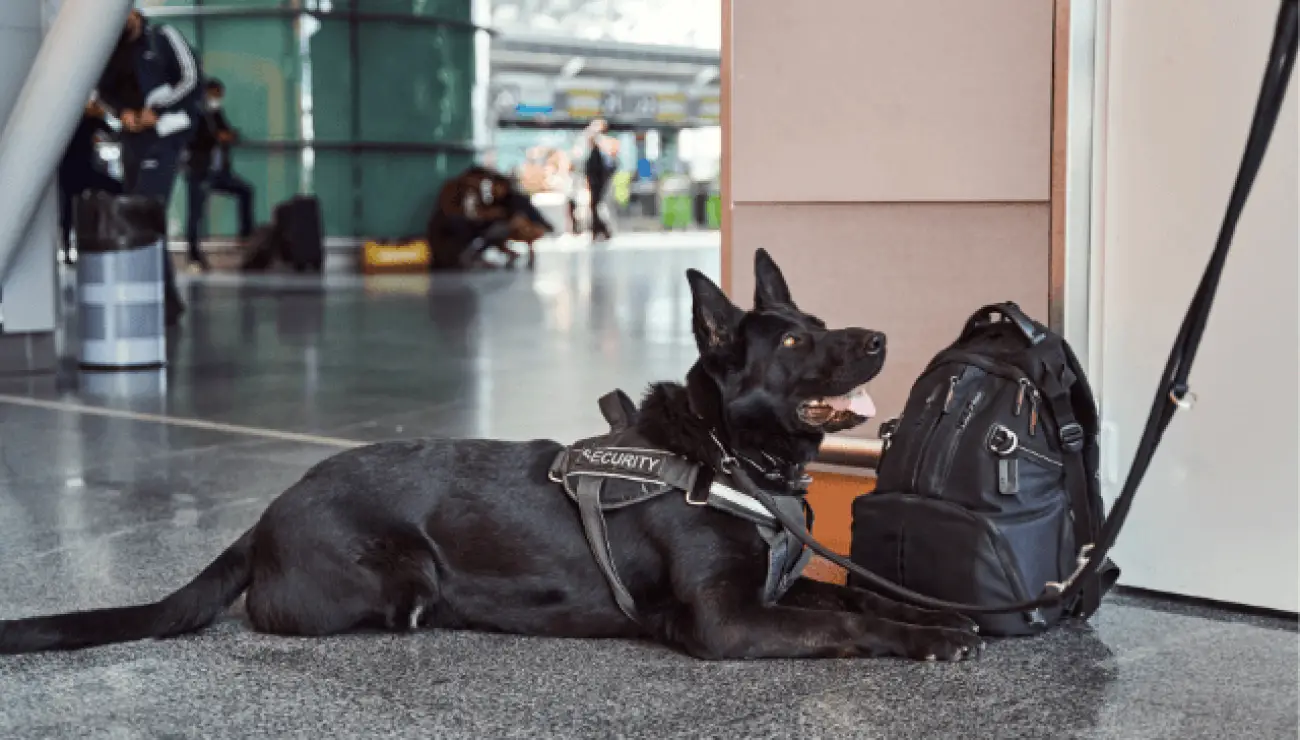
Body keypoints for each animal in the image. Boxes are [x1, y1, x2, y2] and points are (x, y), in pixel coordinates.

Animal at [0, 251, 977, 660]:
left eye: (821, 323)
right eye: (798, 344)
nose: (881, 338)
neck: (725, 456)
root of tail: (267, 514)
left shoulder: (775, 588)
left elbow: (850, 591)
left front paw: (933, 615)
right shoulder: (726, 623)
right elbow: (845, 622)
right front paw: (922, 640)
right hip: (386, 576)